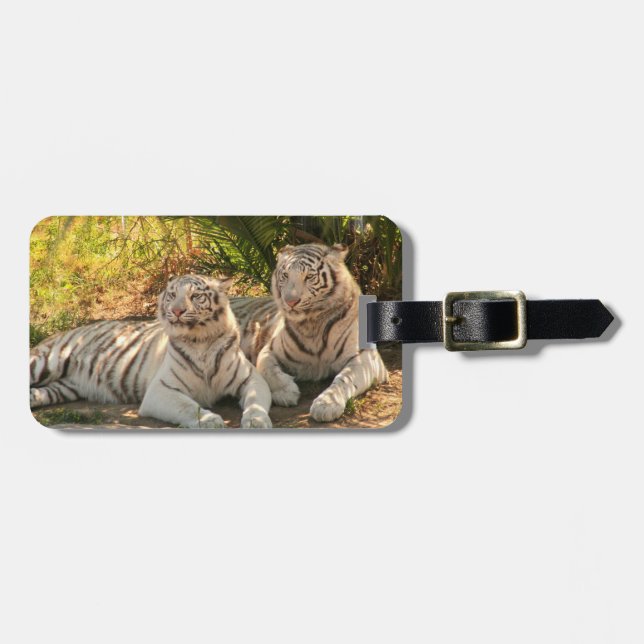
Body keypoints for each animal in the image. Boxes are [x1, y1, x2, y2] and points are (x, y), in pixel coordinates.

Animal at [29, 275, 272, 429]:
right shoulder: (160, 389)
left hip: (62, 388)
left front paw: (256, 421)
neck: (200, 340)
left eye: (195, 296)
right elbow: (188, 406)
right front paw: (209, 420)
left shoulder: (252, 378)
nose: (176, 311)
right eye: (172, 295)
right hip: (44, 363)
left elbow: (256, 401)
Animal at [230, 243, 388, 422]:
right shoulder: (269, 350)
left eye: (309, 277)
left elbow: (345, 379)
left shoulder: (365, 357)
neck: (312, 323)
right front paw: (286, 392)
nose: (290, 301)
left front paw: (327, 404)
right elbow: (267, 369)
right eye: (285, 275)